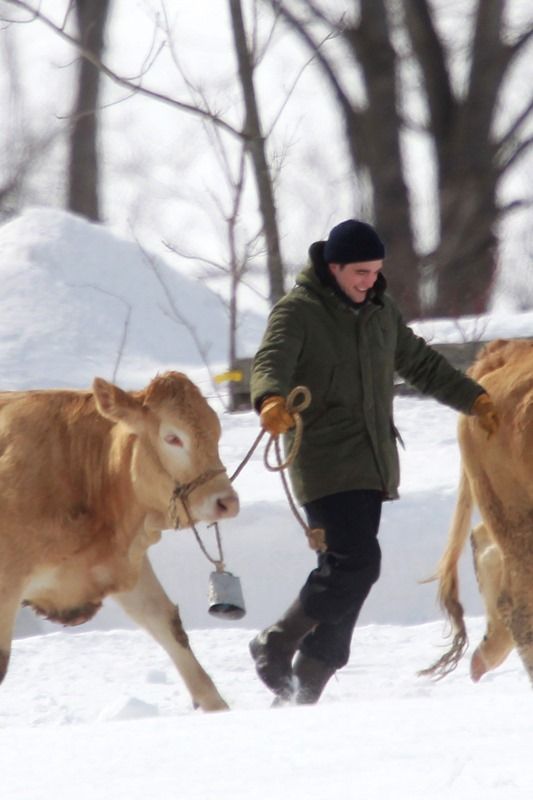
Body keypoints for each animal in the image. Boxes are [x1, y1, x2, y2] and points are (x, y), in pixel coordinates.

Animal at [0, 371, 239, 711]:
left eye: (216, 432)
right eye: (173, 438)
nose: (227, 502)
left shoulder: (122, 565)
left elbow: (168, 625)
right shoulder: (6, 584)